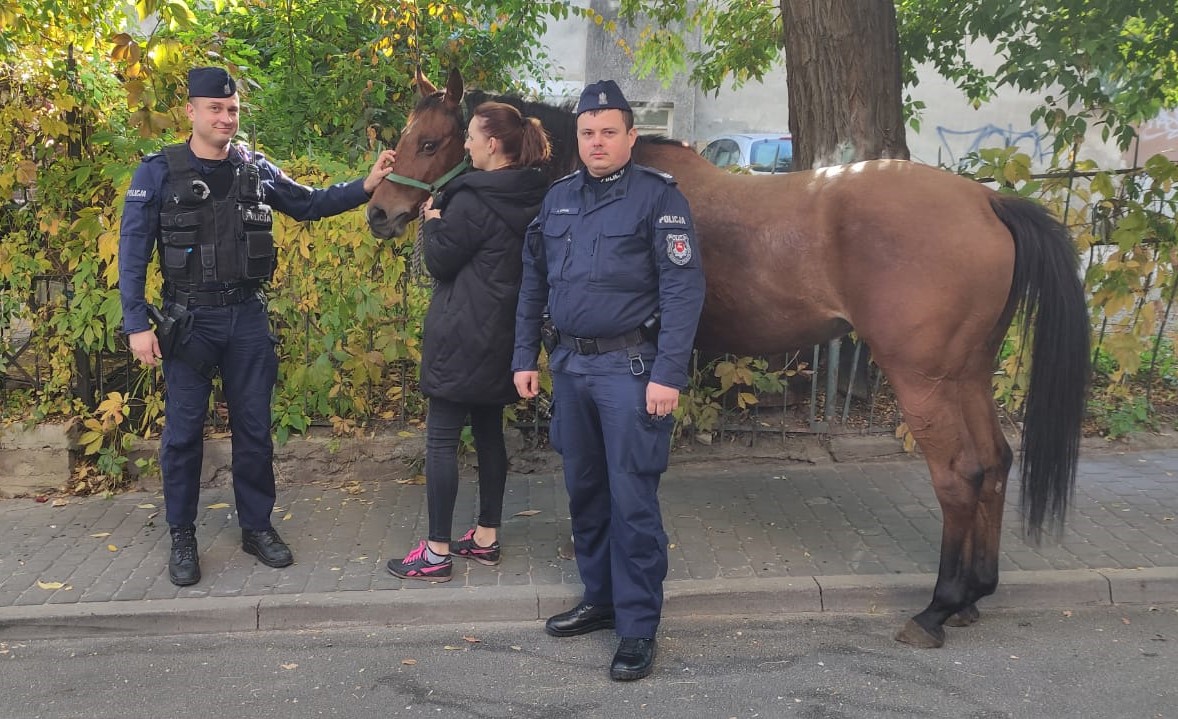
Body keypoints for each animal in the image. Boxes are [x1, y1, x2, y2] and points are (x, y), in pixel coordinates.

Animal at [365, 70, 1083, 645]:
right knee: (994, 463)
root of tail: (986, 200)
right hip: (968, 374)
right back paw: (973, 596)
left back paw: (939, 606)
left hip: (926, 380)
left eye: (431, 142)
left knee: (960, 474)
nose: (378, 212)